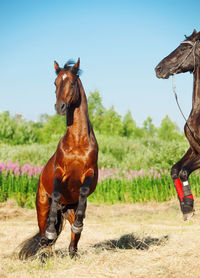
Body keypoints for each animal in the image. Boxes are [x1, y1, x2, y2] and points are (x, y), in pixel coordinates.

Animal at [18, 58, 98, 258]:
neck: (77, 141)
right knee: (42, 235)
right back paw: (44, 250)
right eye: (55, 83)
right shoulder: (59, 172)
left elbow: (84, 191)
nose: (59, 107)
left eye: (72, 83)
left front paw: (78, 225)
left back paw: (73, 249)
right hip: (41, 208)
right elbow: (55, 193)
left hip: (70, 209)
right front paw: (50, 232)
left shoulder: (89, 172)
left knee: (73, 237)